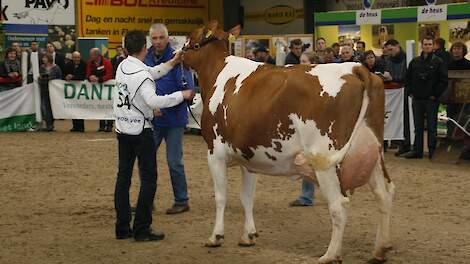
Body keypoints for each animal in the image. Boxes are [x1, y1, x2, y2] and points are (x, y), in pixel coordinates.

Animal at [182, 21, 394, 264]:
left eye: (191, 40)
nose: (178, 53)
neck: (218, 74)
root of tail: (356, 69)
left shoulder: (214, 152)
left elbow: (221, 196)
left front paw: (215, 236)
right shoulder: (248, 157)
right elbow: (247, 197)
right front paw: (248, 235)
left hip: (324, 160)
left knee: (339, 205)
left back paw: (330, 255)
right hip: (372, 153)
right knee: (384, 195)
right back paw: (380, 250)